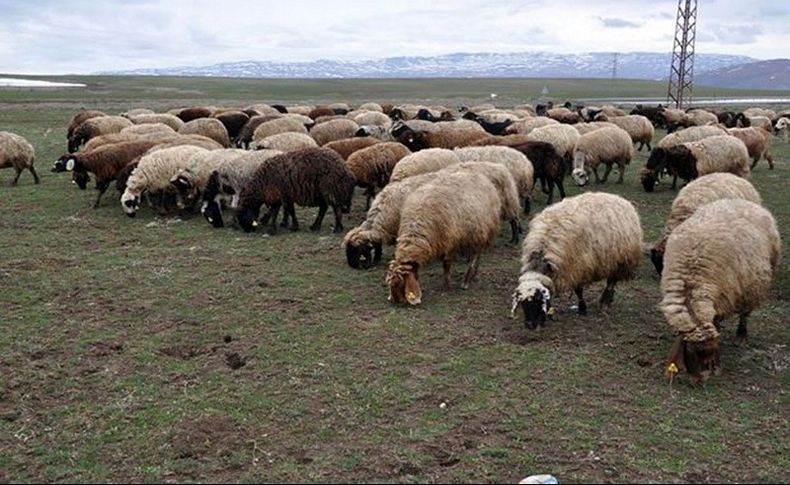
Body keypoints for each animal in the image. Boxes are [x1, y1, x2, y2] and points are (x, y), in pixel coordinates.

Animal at [386, 170, 504, 302]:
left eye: (400, 284)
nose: (396, 301)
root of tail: (482, 177)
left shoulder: (451, 241)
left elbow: (446, 263)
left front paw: (446, 286)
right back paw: (473, 275)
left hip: (482, 233)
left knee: (475, 256)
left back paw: (466, 281)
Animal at [512, 193, 644, 328]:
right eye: (522, 303)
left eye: (538, 299)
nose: (529, 325)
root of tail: (620, 199)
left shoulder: (578, 267)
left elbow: (578, 290)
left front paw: (582, 309)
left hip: (620, 260)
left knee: (611, 282)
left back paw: (605, 302)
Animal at [664, 199, 780, 384]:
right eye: (691, 351)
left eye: (712, 350)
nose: (700, 381)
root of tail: (744, 202)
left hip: (751, 286)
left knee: (745, 313)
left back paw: (741, 335)